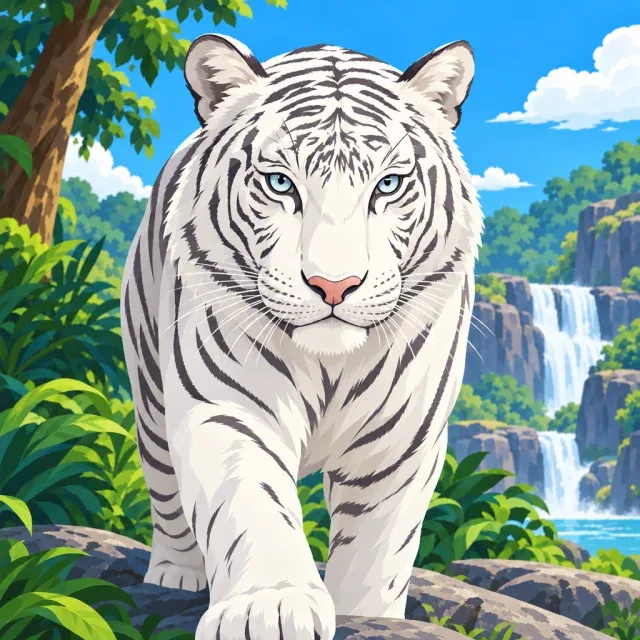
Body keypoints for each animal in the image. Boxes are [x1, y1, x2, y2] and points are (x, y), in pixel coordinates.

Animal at [121, 32, 482, 640]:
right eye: (280, 183)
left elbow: (377, 553)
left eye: (388, 185)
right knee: (165, 490)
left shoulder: (403, 443)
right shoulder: (230, 408)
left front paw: (366, 613)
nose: (334, 285)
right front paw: (267, 608)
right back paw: (174, 575)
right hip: (150, 391)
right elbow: (252, 503)